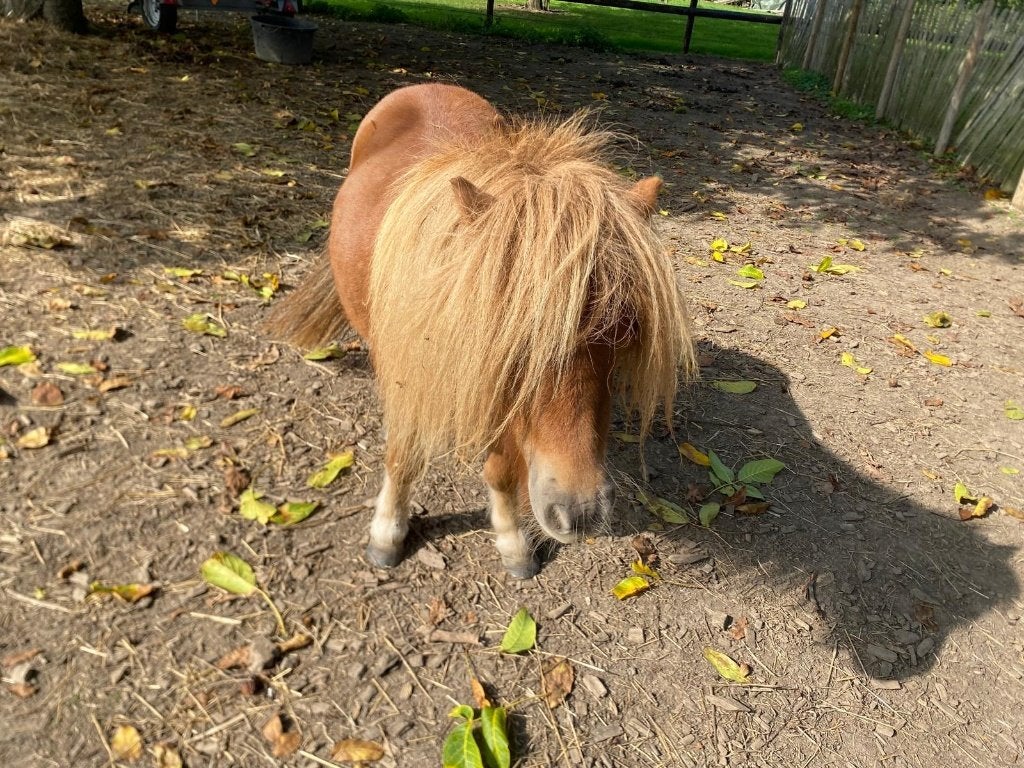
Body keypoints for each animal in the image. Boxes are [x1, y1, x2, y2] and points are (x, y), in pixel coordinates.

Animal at [267, 83, 695, 578]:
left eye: (625, 330)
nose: (582, 511)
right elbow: (403, 457)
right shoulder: (412, 379)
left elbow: (502, 471)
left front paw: (512, 542)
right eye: (513, 341)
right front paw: (387, 534)